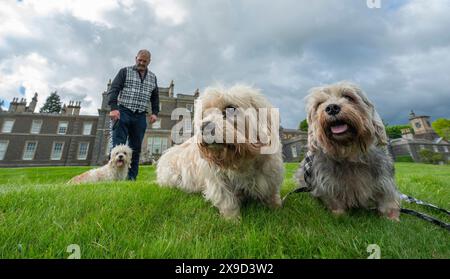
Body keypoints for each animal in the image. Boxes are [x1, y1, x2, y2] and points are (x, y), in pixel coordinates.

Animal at [156, 84, 284, 220]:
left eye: (231, 109)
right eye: (204, 114)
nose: (204, 127)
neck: (240, 160)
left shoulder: (270, 174)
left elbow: (271, 193)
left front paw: (276, 208)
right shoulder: (216, 178)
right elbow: (226, 199)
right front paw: (232, 219)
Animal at [296, 81, 400, 221]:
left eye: (348, 97)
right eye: (319, 104)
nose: (331, 108)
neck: (348, 153)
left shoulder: (383, 179)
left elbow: (387, 200)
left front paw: (392, 219)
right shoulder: (327, 183)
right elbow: (335, 201)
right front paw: (339, 216)